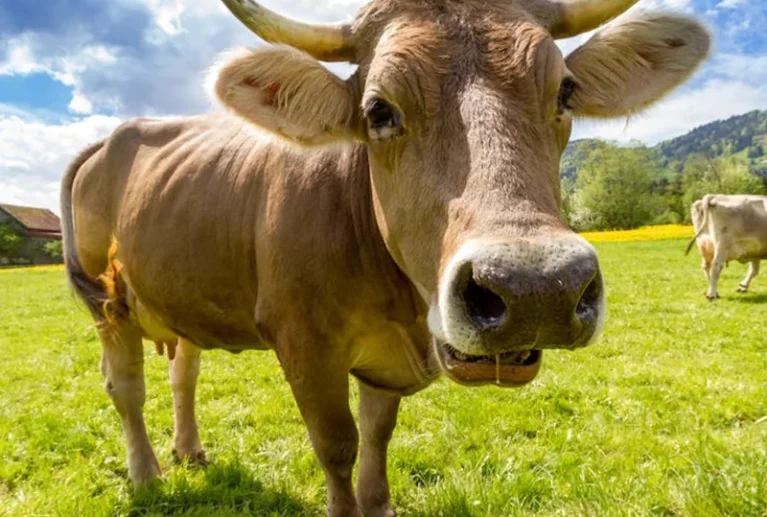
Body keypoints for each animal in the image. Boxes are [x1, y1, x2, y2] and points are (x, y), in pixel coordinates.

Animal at [61, 0, 709, 515]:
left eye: (565, 91)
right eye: (378, 110)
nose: (536, 289)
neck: (400, 305)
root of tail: (116, 135)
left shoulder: (385, 361)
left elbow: (376, 436)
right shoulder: (304, 344)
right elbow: (337, 444)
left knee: (183, 372)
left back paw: (189, 450)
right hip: (108, 306)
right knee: (126, 387)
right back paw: (147, 476)